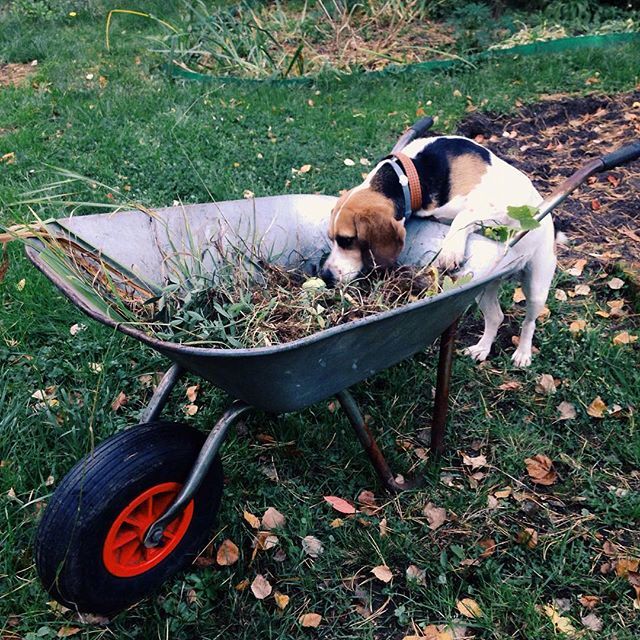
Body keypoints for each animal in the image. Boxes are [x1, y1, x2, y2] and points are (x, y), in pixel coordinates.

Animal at [322, 135, 556, 364]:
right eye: (332, 239)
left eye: (346, 240)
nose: (326, 276)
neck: (414, 172)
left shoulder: (494, 206)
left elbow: (464, 215)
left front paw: (450, 250)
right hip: (484, 287)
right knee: (496, 317)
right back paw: (482, 349)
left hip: (536, 287)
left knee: (530, 322)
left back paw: (523, 354)